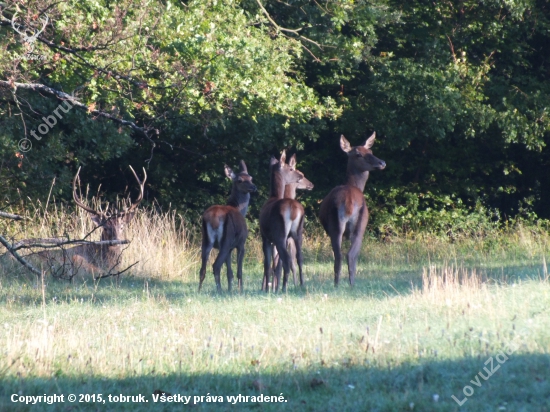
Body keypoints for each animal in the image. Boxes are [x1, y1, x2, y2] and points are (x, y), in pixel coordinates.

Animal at [199, 161, 258, 292]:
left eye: (251, 178)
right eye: (240, 180)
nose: (254, 187)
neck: (239, 209)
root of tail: (214, 218)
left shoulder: (230, 248)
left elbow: (229, 272)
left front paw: (230, 290)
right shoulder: (240, 244)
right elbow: (239, 272)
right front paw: (240, 291)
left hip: (206, 240)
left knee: (202, 269)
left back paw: (199, 290)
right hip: (225, 240)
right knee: (216, 265)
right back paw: (219, 291)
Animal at [262, 152, 308, 292]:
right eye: (291, 169)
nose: (301, 176)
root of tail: (293, 209)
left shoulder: (265, 237)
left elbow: (267, 264)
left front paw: (267, 290)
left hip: (280, 234)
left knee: (286, 260)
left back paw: (282, 288)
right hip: (297, 233)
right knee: (299, 258)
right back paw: (300, 285)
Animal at [320, 133, 388, 286]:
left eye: (370, 151)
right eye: (358, 154)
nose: (382, 163)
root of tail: (349, 203)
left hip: (336, 226)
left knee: (338, 256)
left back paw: (337, 285)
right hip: (360, 225)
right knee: (350, 255)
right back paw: (351, 285)